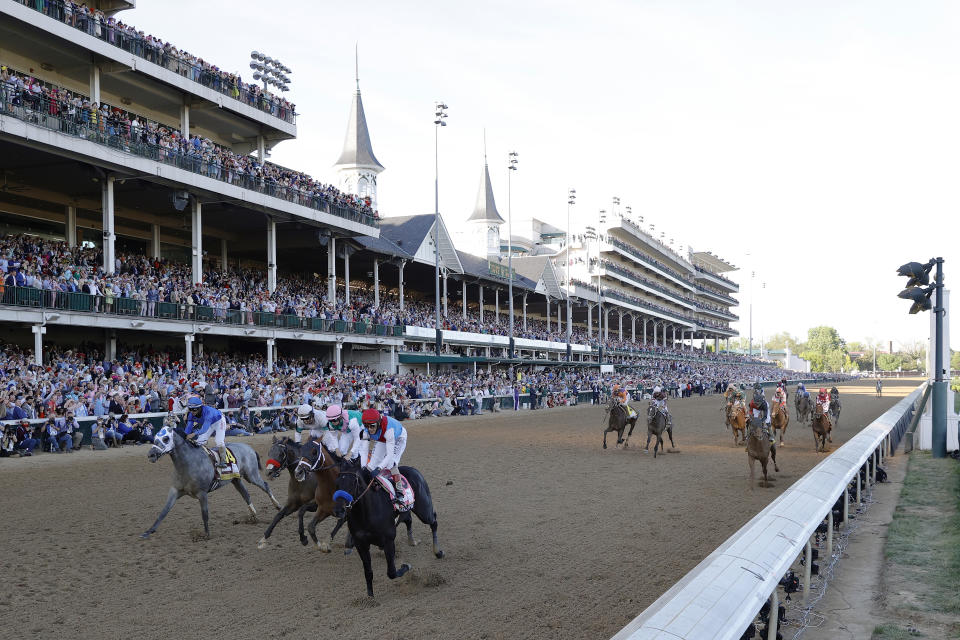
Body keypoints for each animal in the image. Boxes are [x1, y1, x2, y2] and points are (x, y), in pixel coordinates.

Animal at [142, 428, 282, 536]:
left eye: (166, 438)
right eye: (155, 437)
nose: (151, 455)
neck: (188, 463)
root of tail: (249, 448)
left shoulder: (202, 493)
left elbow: (205, 514)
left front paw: (206, 534)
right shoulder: (175, 490)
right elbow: (164, 511)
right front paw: (149, 531)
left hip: (251, 475)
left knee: (265, 485)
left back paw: (277, 506)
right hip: (236, 480)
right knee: (245, 494)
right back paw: (253, 516)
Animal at [330, 458, 442, 596]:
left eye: (353, 482)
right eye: (337, 482)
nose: (338, 510)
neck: (366, 514)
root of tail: (414, 470)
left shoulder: (388, 541)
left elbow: (392, 573)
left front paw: (406, 566)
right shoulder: (361, 544)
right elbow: (368, 572)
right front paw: (370, 596)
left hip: (423, 510)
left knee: (433, 521)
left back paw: (437, 551)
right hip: (406, 510)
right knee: (408, 519)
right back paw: (412, 541)